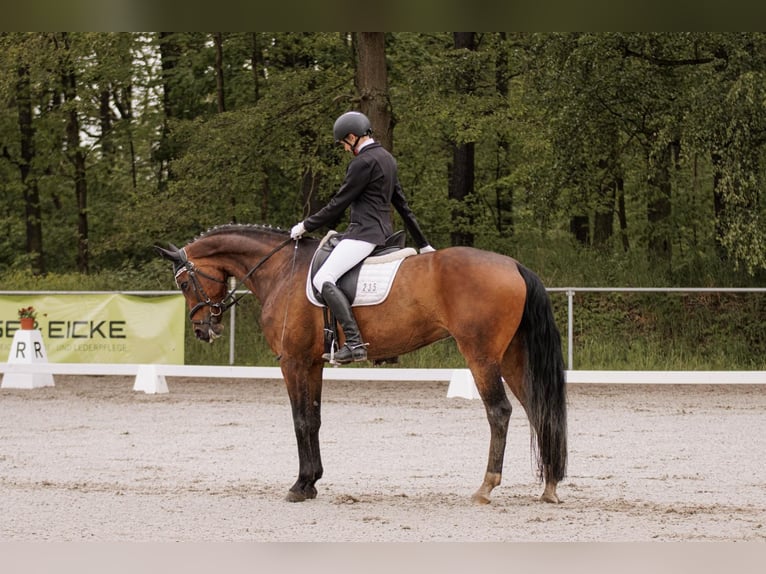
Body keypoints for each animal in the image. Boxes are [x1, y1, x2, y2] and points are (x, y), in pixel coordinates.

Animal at [156, 224, 568, 504]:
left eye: (184, 283)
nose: (203, 330)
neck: (282, 270)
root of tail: (513, 265)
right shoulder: (313, 363)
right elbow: (314, 418)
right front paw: (312, 481)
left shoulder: (292, 362)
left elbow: (300, 419)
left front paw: (300, 486)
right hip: (512, 357)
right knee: (538, 409)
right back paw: (549, 487)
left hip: (481, 355)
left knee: (499, 411)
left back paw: (485, 487)